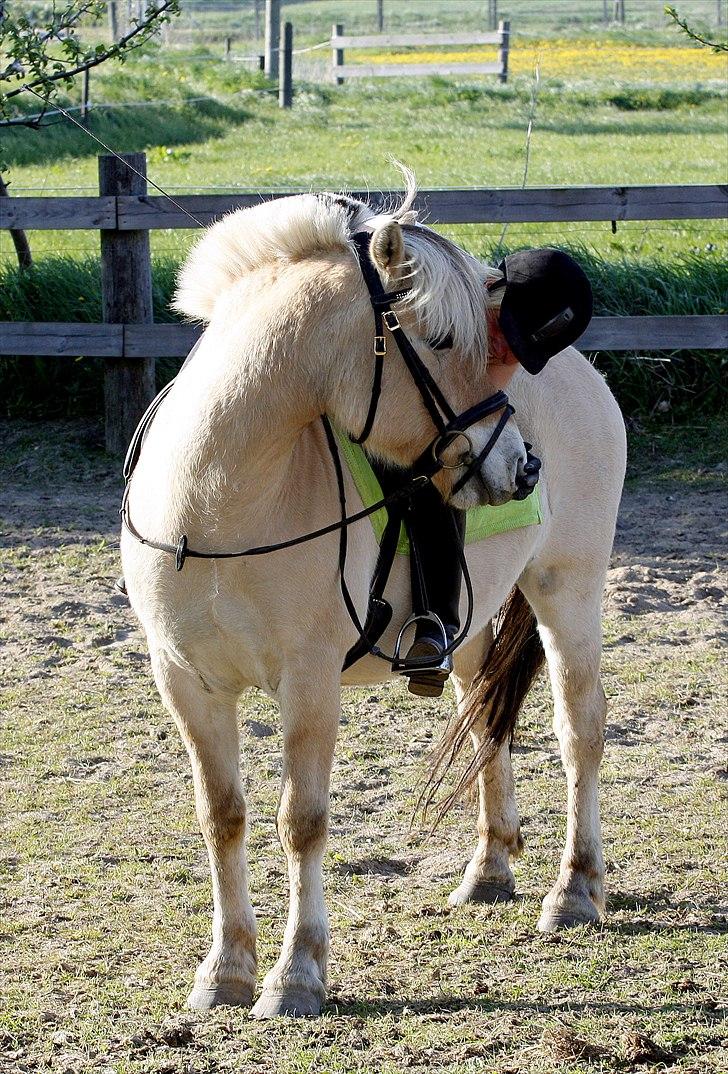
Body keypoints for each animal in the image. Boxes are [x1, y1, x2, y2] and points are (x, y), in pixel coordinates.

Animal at [119, 182, 627, 1013]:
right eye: (446, 342)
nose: (521, 466)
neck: (218, 501)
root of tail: (582, 372)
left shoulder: (310, 681)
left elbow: (302, 821)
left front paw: (296, 975)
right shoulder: (187, 682)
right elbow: (222, 816)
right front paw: (225, 970)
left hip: (569, 589)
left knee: (579, 730)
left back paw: (575, 891)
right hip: (470, 626)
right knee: (485, 718)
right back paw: (489, 870)